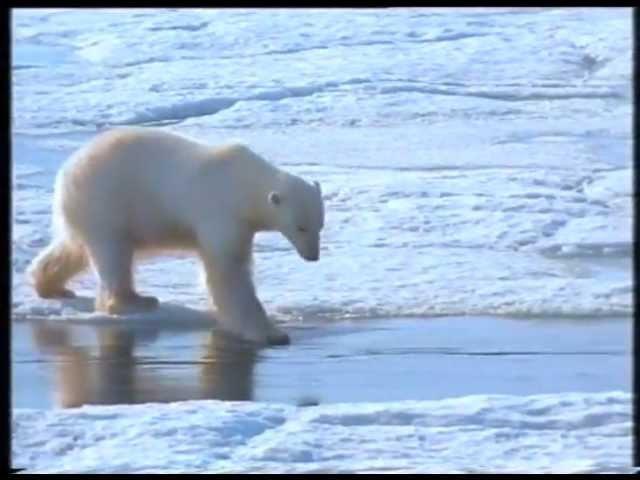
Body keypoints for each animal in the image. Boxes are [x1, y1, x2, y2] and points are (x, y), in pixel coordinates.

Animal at [28, 126, 324, 344]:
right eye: (301, 227)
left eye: (319, 225)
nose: (313, 256)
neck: (244, 184)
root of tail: (66, 171)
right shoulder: (221, 213)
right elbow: (229, 271)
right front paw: (270, 333)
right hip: (106, 199)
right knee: (113, 254)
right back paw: (138, 301)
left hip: (90, 209)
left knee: (74, 248)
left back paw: (51, 285)